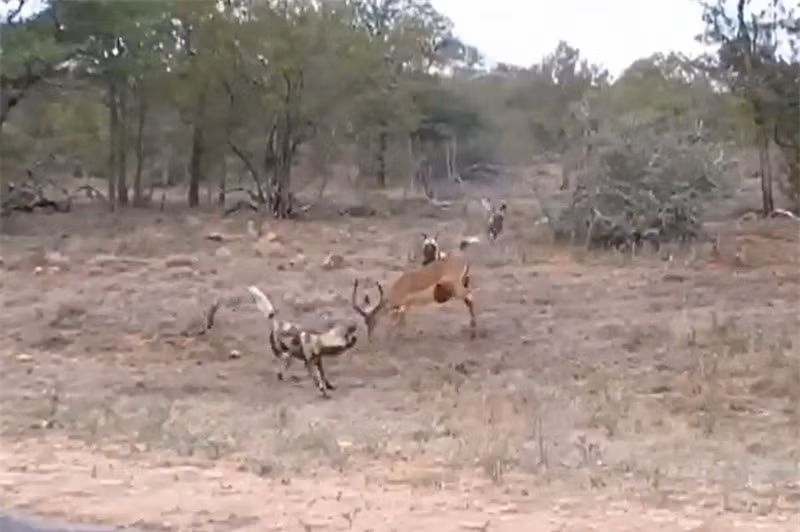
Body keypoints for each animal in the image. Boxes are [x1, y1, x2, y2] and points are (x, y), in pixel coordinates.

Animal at [352, 237, 480, 341]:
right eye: (365, 322)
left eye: (372, 320)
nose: (370, 338)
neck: (400, 286)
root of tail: (463, 260)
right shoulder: (405, 306)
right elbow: (401, 321)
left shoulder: (403, 306)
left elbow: (400, 322)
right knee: (469, 300)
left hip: (457, 288)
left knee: (470, 296)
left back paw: (474, 332)